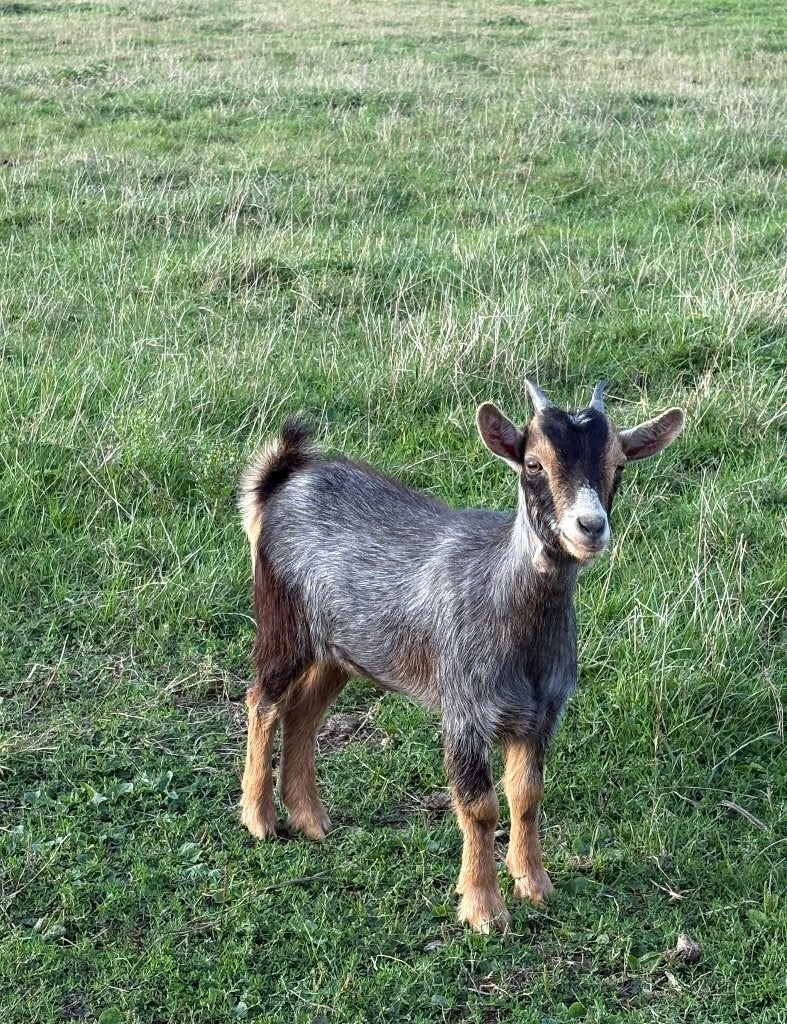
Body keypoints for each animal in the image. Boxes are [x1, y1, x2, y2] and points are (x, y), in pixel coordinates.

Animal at [237, 381, 684, 932]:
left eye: (618, 463)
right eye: (532, 463)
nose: (590, 527)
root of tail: (281, 483)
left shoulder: (542, 716)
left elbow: (527, 796)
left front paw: (534, 884)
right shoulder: (465, 711)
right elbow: (480, 807)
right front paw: (483, 908)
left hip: (342, 651)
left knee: (304, 711)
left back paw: (311, 819)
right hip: (283, 622)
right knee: (263, 700)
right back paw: (260, 819)